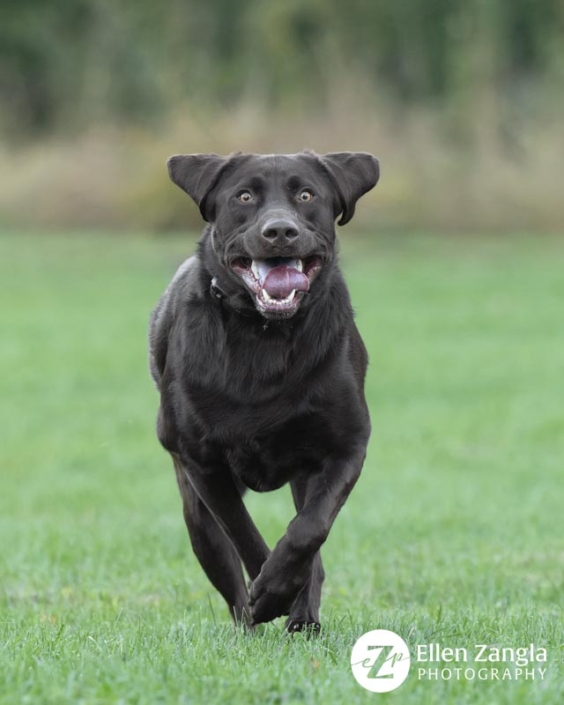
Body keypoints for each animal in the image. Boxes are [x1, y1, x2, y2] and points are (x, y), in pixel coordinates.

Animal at [150, 150, 378, 632]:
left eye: (307, 195)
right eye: (244, 196)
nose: (279, 231)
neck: (265, 335)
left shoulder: (346, 446)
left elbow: (310, 530)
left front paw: (284, 591)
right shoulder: (203, 463)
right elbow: (243, 534)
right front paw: (270, 594)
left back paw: (304, 619)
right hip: (194, 510)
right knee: (226, 573)